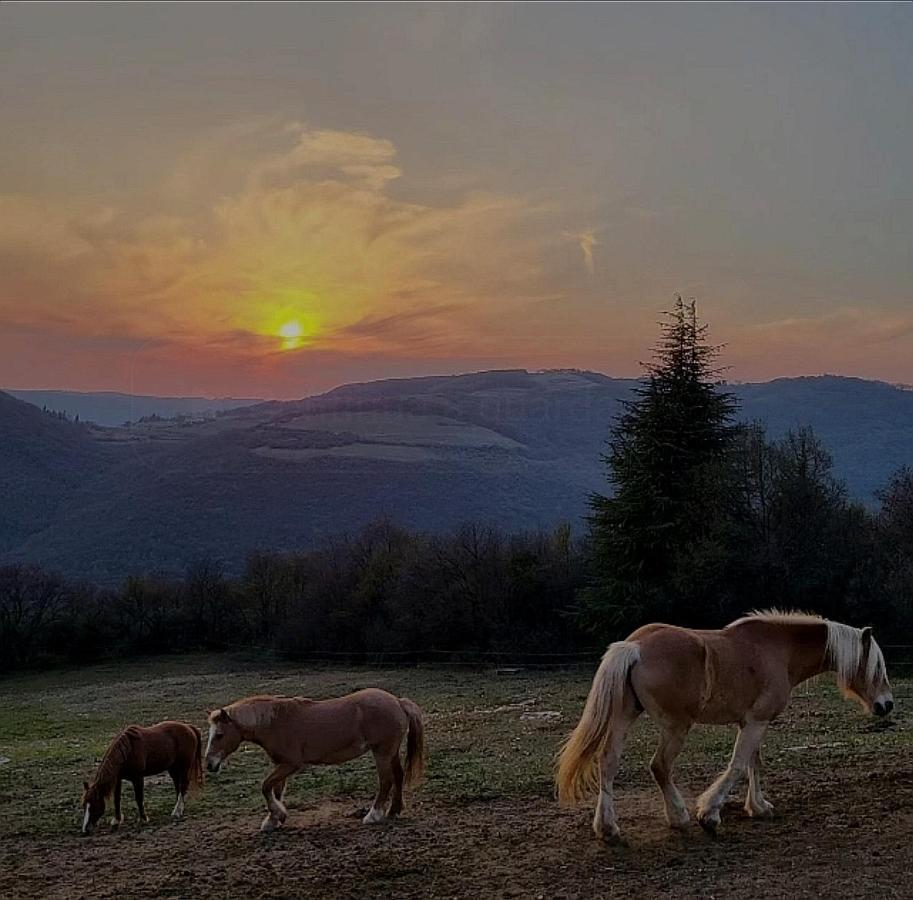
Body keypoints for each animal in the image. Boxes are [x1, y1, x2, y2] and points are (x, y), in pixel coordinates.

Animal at [205, 688, 426, 828]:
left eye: (220, 735)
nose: (209, 764)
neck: (275, 722)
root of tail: (398, 702)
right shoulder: (281, 765)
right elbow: (275, 791)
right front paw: (273, 820)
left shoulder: (291, 764)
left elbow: (265, 786)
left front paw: (279, 815)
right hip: (391, 752)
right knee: (398, 776)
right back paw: (393, 811)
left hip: (382, 752)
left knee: (386, 781)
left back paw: (373, 815)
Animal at [556, 612, 892, 844]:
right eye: (876, 667)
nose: (886, 705)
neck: (779, 650)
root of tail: (635, 646)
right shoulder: (756, 722)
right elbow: (738, 764)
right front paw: (709, 814)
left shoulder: (754, 721)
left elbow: (754, 763)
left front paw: (758, 807)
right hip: (676, 727)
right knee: (659, 766)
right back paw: (679, 817)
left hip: (625, 716)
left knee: (608, 762)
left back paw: (608, 828)